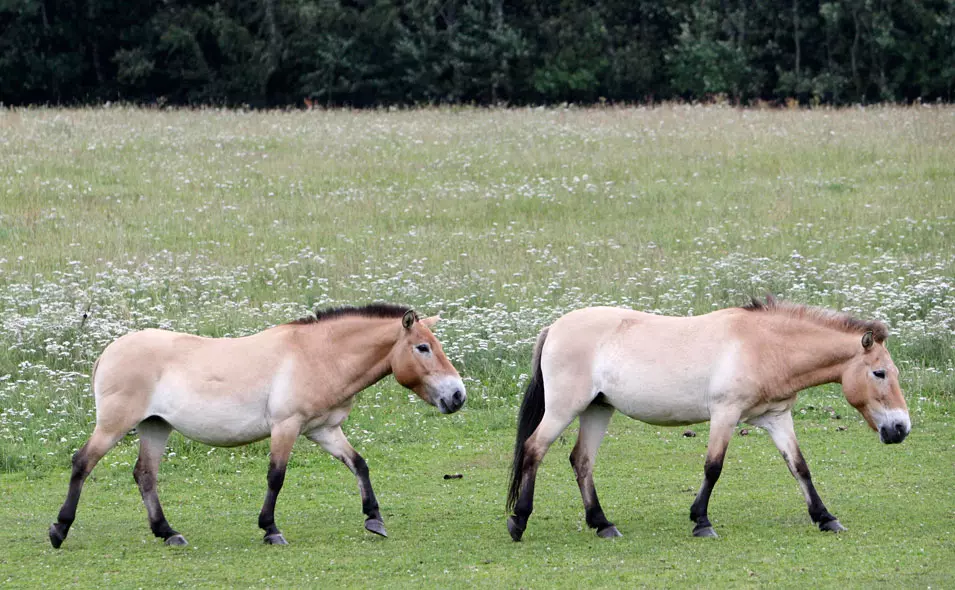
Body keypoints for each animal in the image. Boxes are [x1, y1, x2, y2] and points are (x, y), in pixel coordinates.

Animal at [49, 306, 466, 552]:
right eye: (423, 348)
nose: (457, 395)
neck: (317, 355)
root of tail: (108, 351)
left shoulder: (323, 430)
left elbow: (358, 464)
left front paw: (373, 518)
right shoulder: (287, 426)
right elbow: (276, 478)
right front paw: (271, 529)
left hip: (155, 427)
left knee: (145, 476)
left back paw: (168, 533)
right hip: (115, 425)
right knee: (82, 463)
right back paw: (59, 530)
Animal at [508, 298, 912, 544]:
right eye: (879, 373)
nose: (900, 428)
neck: (764, 346)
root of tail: (554, 328)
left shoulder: (777, 417)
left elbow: (800, 467)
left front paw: (826, 517)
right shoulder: (725, 414)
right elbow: (713, 467)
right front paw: (701, 521)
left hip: (597, 409)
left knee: (582, 461)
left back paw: (602, 524)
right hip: (564, 409)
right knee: (534, 450)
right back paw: (519, 522)